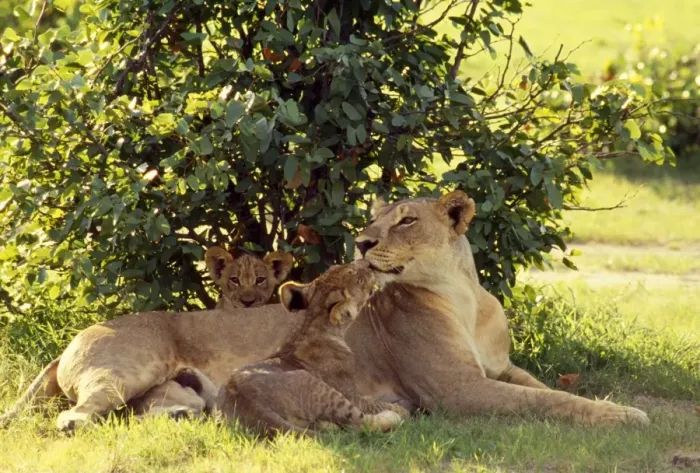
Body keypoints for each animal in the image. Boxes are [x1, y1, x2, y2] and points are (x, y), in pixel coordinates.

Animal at [0, 190, 648, 432]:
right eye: (373, 218)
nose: (361, 243)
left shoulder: (498, 368)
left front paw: (615, 404)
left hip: (170, 392)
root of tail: (74, 336)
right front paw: (628, 416)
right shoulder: (455, 390)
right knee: (80, 412)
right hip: (125, 368)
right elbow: (549, 401)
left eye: (405, 220)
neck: (460, 295)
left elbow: (545, 386)